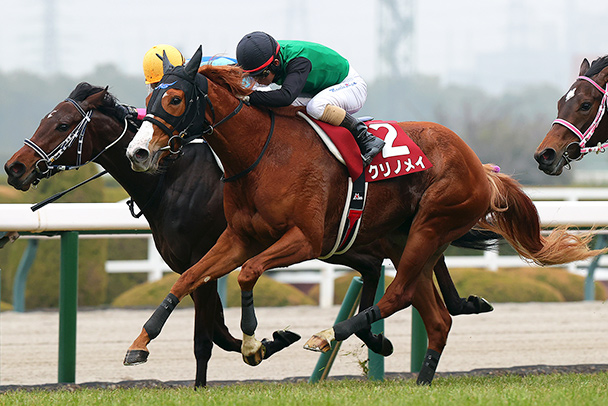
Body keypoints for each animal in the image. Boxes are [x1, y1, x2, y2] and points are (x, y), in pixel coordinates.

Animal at [4, 83, 492, 387]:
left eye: (62, 124)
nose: (15, 168)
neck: (173, 178)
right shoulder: (204, 261)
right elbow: (212, 329)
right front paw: (266, 342)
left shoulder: (211, 258)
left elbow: (210, 336)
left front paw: (263, 345)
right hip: (360, 241)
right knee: (398, 279)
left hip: (356, 238)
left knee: (394, 276)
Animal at [124, 46, 603, 385]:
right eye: (148, 96)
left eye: (175, 98)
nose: (138, 152)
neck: (262, 154)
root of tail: (478, 167)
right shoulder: (237, 237)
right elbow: (188, 279)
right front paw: (140, 342)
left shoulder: (305, 239)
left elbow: (247, 273)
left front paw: (254, 343)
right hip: (406, 238)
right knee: (435, 316)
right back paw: (422, 377)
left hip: (431, 225)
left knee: (400, 294)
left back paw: (325, 335)